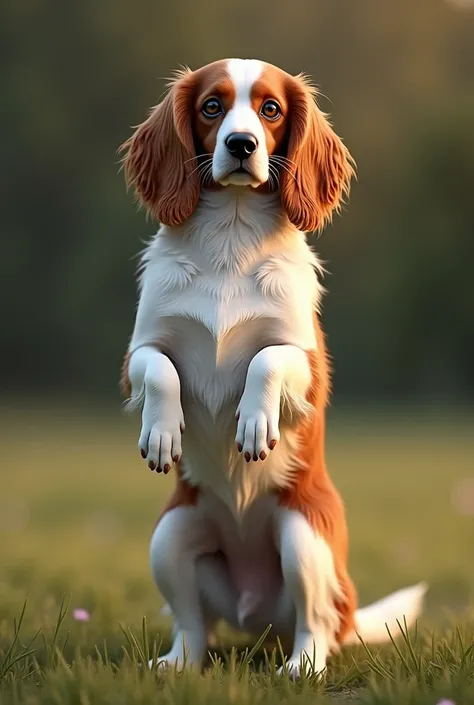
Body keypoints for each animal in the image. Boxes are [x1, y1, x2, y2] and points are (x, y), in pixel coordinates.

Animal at [117, 57, 426, 672]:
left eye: (271, 109)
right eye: (212, 106)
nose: (241, 143)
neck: (230, 237)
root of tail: (253, 611)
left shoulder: (308, 362)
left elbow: (267, 358)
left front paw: (255, 424)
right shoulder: (140, 347)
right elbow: (158, 370)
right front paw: (162, 433)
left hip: (304, 541)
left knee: (315, 626)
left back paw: (301, 669)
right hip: (171, 535)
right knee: (192, 626)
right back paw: (177, 666)